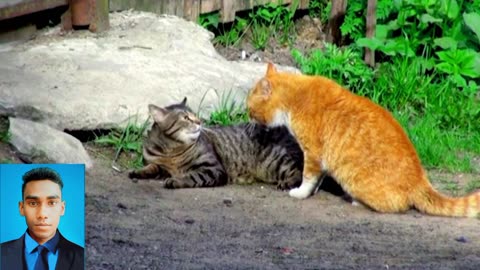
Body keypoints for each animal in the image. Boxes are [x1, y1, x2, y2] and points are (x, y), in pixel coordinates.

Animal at [127, 97, 304, 190]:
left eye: (195, 115)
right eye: (186, 118)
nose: (199, 122)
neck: (171, 150)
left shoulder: (213, 169)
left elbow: (191, 176)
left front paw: (175, 180)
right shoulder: (160, 166)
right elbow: (152, 167)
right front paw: (138, 171)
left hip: (274, 162)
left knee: (298, 173)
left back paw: (287, 183)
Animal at [248, 62, 480, 217]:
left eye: (250, 109)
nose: (248, 118)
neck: (296, 96)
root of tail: (420, 181)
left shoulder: (312, 153)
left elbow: (308, 177)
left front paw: (300, 193)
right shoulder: (321, 160)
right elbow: (318, 177)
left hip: (355, 182)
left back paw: (357, 202)